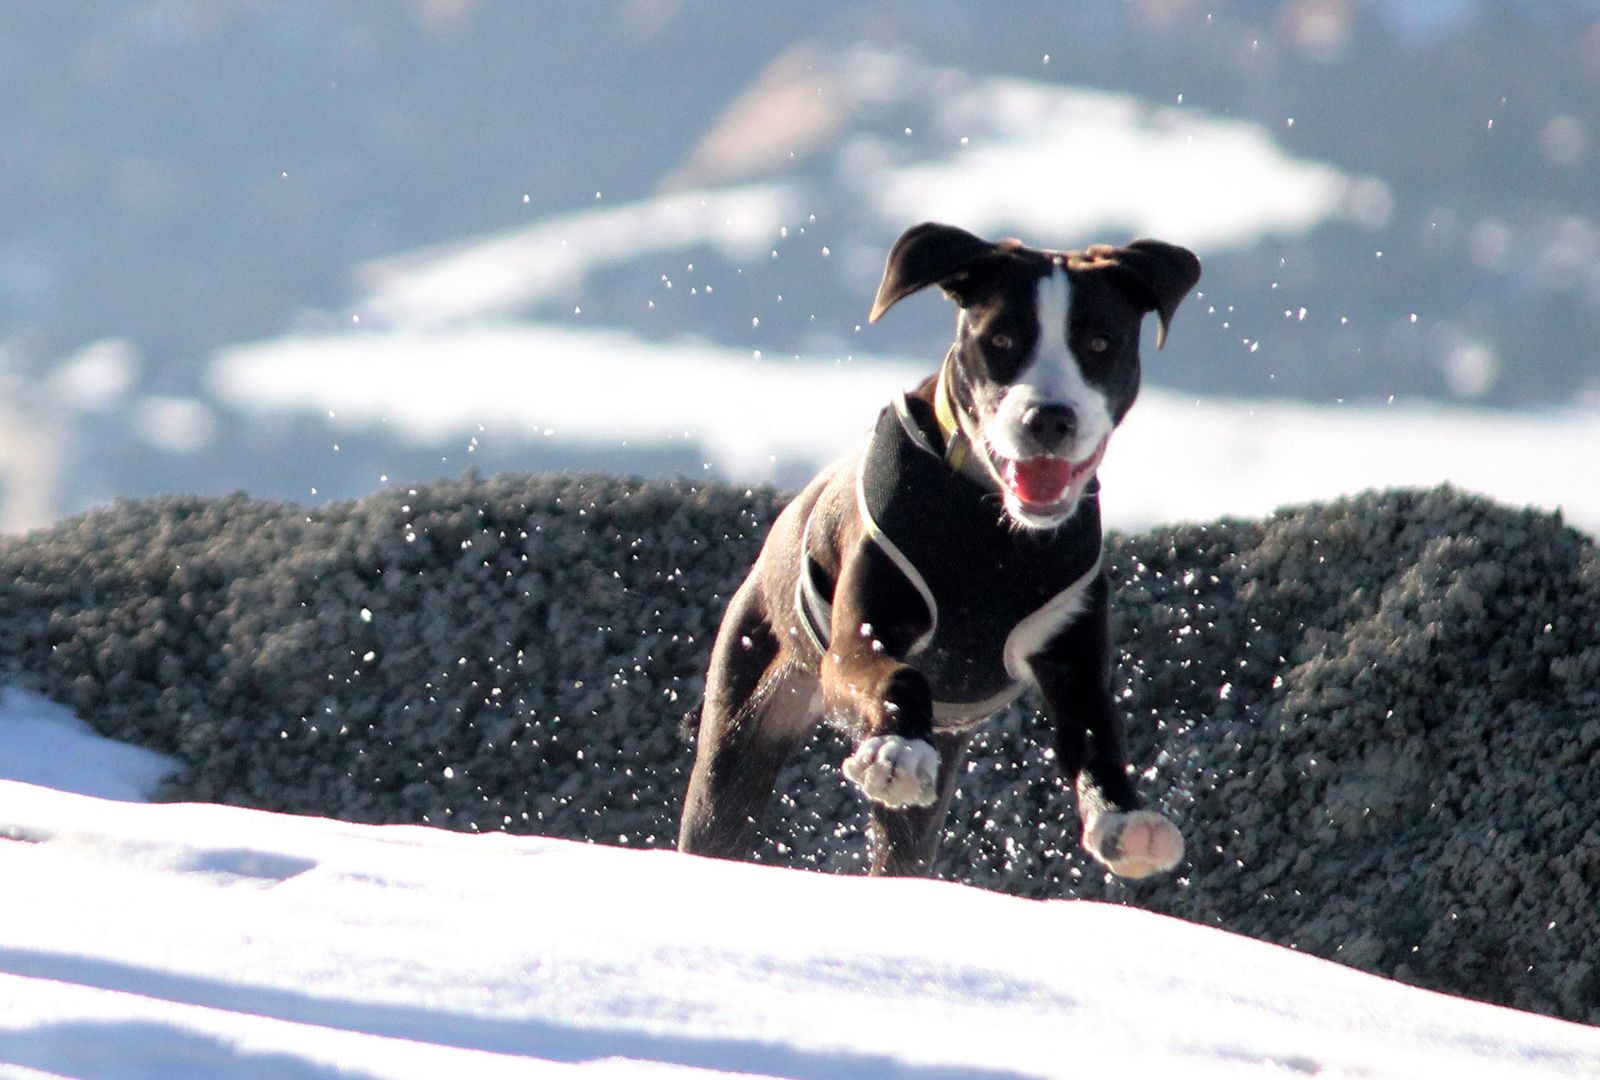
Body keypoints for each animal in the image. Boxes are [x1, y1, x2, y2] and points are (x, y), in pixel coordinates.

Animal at [675, 222, 1203, 876]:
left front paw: (1124, 817)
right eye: (1000, 339)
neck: (994, 529)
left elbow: (1096, 728)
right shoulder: (857, 641)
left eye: (1101, 344)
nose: (1049, 417)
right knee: (722, 812)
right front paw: (897, 751)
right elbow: (900, 675)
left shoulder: (1073, 650)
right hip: (746, 710)